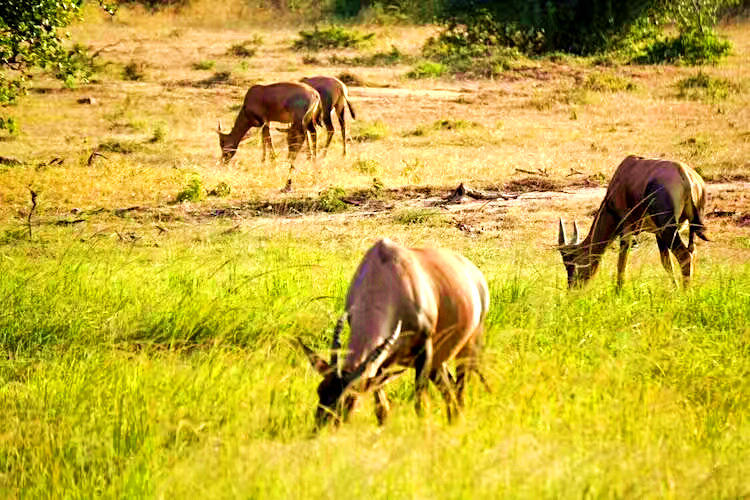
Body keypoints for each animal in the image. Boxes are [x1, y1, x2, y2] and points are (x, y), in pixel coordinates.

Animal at [296, 237, 490, 426]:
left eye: (351, 399)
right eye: (320, 390)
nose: (321, 430)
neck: (385, 270)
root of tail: (474, 272)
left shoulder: (424, 348)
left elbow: (421, 404)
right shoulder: (382, 359)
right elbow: (381, 407)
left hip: (468, 346)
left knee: (460, 391)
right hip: (437, 361)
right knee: (449, 389)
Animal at [560, 155, 712, 290]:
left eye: (572, 262)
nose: (572, 290)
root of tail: (687, 177)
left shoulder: (626, 229)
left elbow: (621, 264)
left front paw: (618, 292)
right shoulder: (657, 233)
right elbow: (667, 264)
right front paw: (675, 289)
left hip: (668, 228)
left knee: (684, 256)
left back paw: (686, 294)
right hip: (689, 226)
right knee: (692, 251)